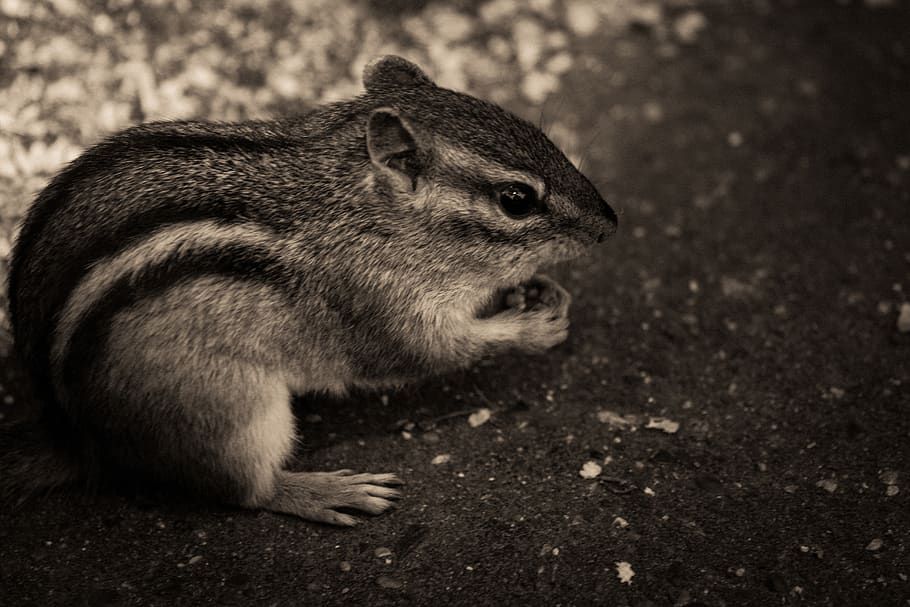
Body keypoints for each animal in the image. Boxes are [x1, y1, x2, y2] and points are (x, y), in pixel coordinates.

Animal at [3, 56, 617, 526]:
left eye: (541, 135)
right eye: (516, 200)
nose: (609, 225)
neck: (367, 207)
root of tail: (78, 441)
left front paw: (538, 289)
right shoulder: (377, 305)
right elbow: (429, 354)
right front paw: (532, 328)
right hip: (232, 411)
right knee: (244, 492)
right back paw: (322, 491)